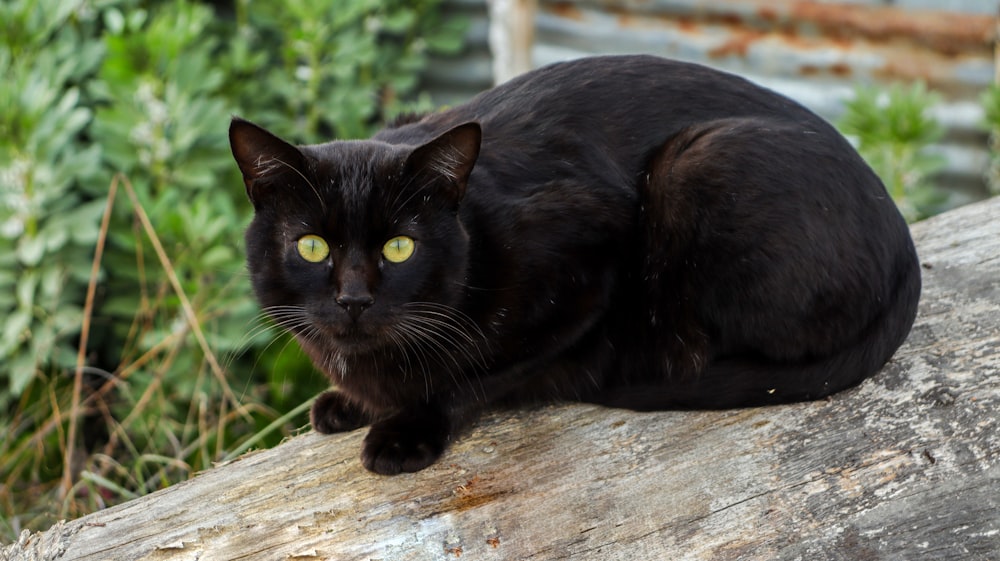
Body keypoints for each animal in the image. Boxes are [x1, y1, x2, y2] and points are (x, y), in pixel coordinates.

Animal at [230, 54, 916, 472]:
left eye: (400, 246)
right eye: (312, 246)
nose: (353, 299)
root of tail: (903, 239)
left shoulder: (586, 273)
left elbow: (474, 377)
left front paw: (404, 429)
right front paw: (345, 402)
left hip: (692, 166)